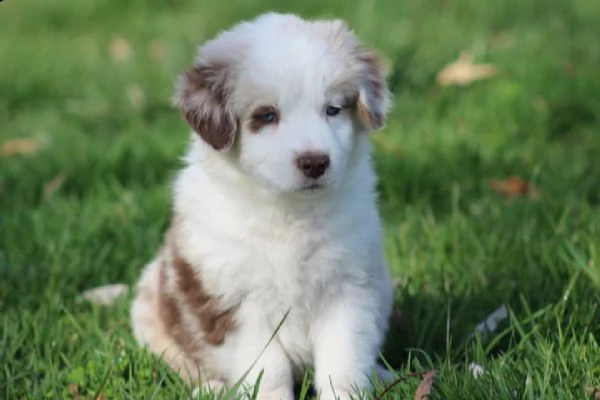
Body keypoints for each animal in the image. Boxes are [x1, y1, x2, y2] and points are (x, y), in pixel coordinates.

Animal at [129, 12, 396, 400]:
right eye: (267, 116)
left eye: (332, 110)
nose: (315, 162)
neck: (289, 214)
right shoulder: (234, 302)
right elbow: (267, 369)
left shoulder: (350, 286)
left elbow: (343, 360)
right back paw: (210, 388)